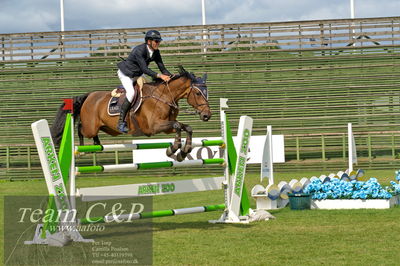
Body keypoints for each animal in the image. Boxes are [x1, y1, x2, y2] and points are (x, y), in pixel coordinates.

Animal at [51, 66, 212, 162]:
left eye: (206, 92)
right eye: (198, 93)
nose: (207, 116)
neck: (164, 96)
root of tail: (88, 96)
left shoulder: (167, 128)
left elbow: (186, 127)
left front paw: (183, 152)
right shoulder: (153, 127)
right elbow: (178, 125)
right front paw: (172, 149)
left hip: (106, 128)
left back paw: (97, 143)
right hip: (90, 127)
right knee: (80, 128)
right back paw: (82, 150)